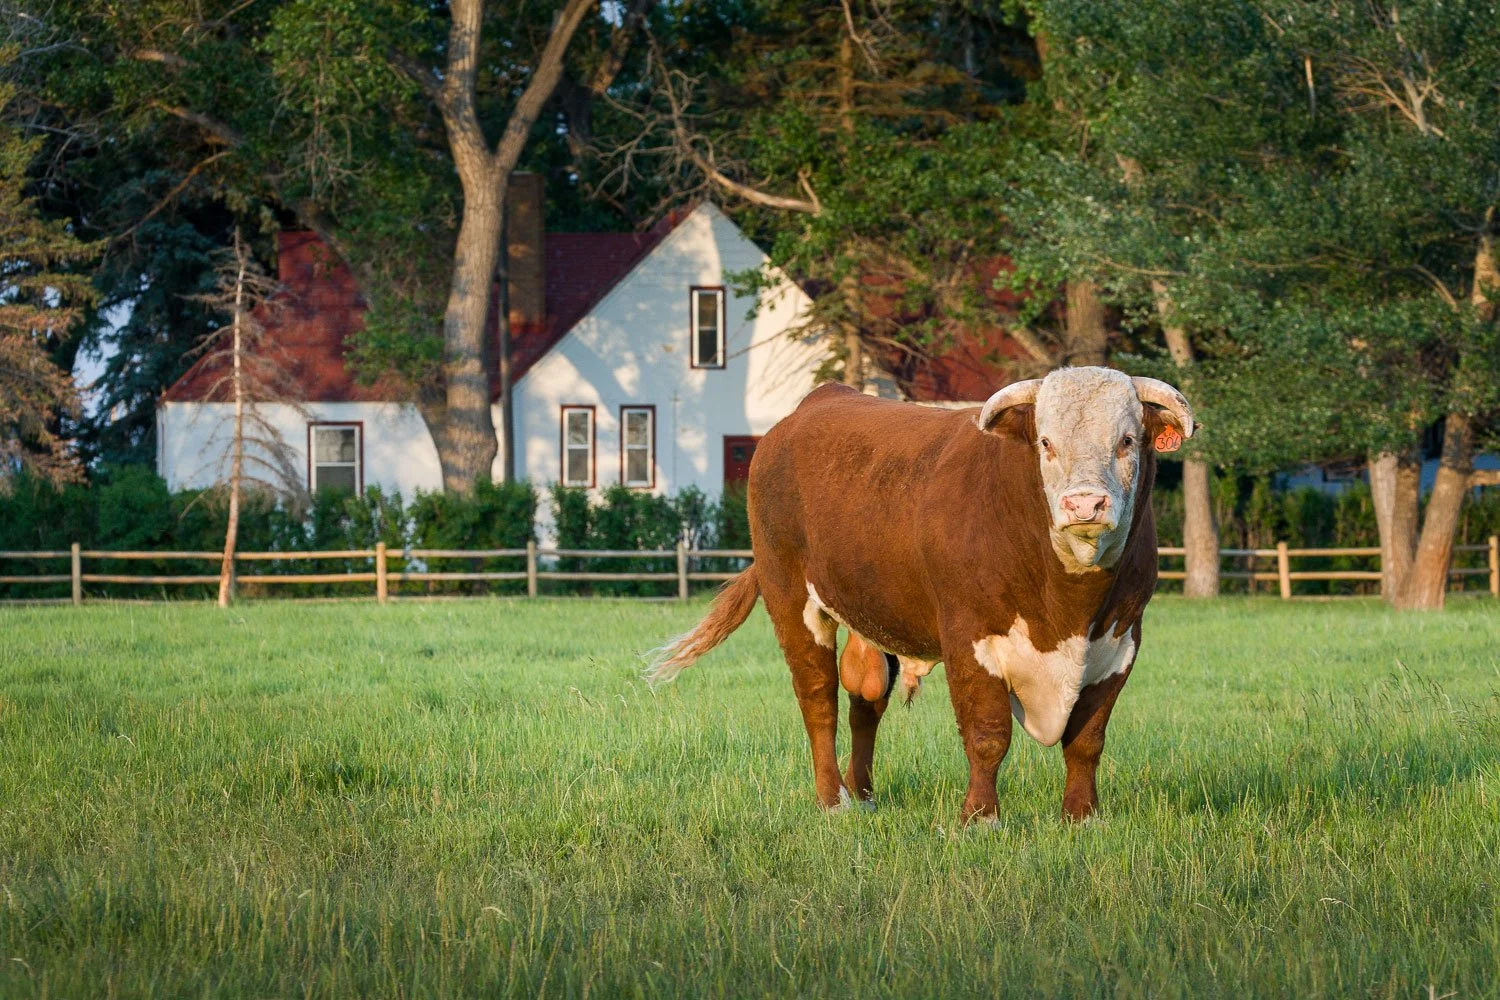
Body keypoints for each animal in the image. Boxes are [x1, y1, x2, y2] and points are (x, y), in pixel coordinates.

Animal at [648, 366, 1194, 822]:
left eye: (1127, 440)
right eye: (1046, 442)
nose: (1084, 503)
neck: (1069, 609)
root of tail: (816, 403)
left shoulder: (1120, 642)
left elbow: (1086, 740)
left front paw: (1081, 817)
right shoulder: (970, 636)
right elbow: (987, 735)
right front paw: (979, 819)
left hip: (875, 613)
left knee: (865, 700)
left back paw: (863, 795)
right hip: (790, 596)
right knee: (818, 698)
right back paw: (833, 802)